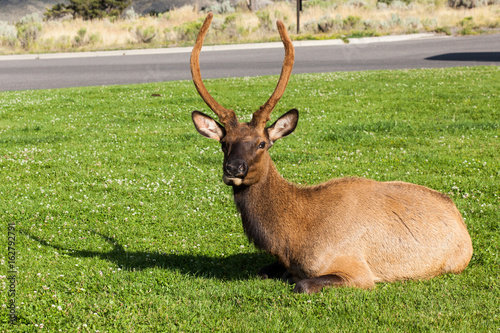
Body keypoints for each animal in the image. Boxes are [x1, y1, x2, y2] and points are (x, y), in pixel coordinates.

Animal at [188, 13, 472, 294]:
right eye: (224, 143)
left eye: (261, 144)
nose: (234, 168)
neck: (292, 242)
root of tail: (458, 215)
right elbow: (263, 271)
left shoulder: (357, 271)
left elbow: (302, 285)